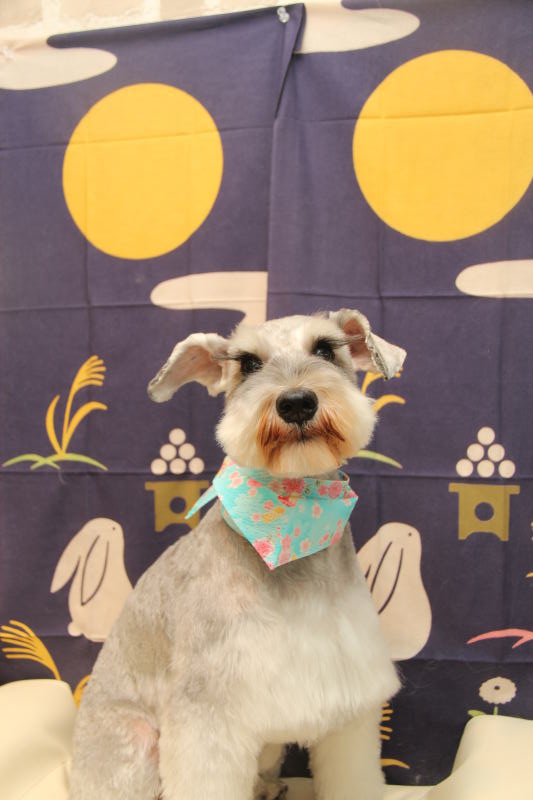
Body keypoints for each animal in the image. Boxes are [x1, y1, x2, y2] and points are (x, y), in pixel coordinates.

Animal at [68, 309, 405, 800]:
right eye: (247, 363)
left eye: (326, 349)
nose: (297, 402)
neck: (290, 527)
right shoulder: (208, 710)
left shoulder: (351, 698)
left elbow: (352, 774)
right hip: (133, 744)